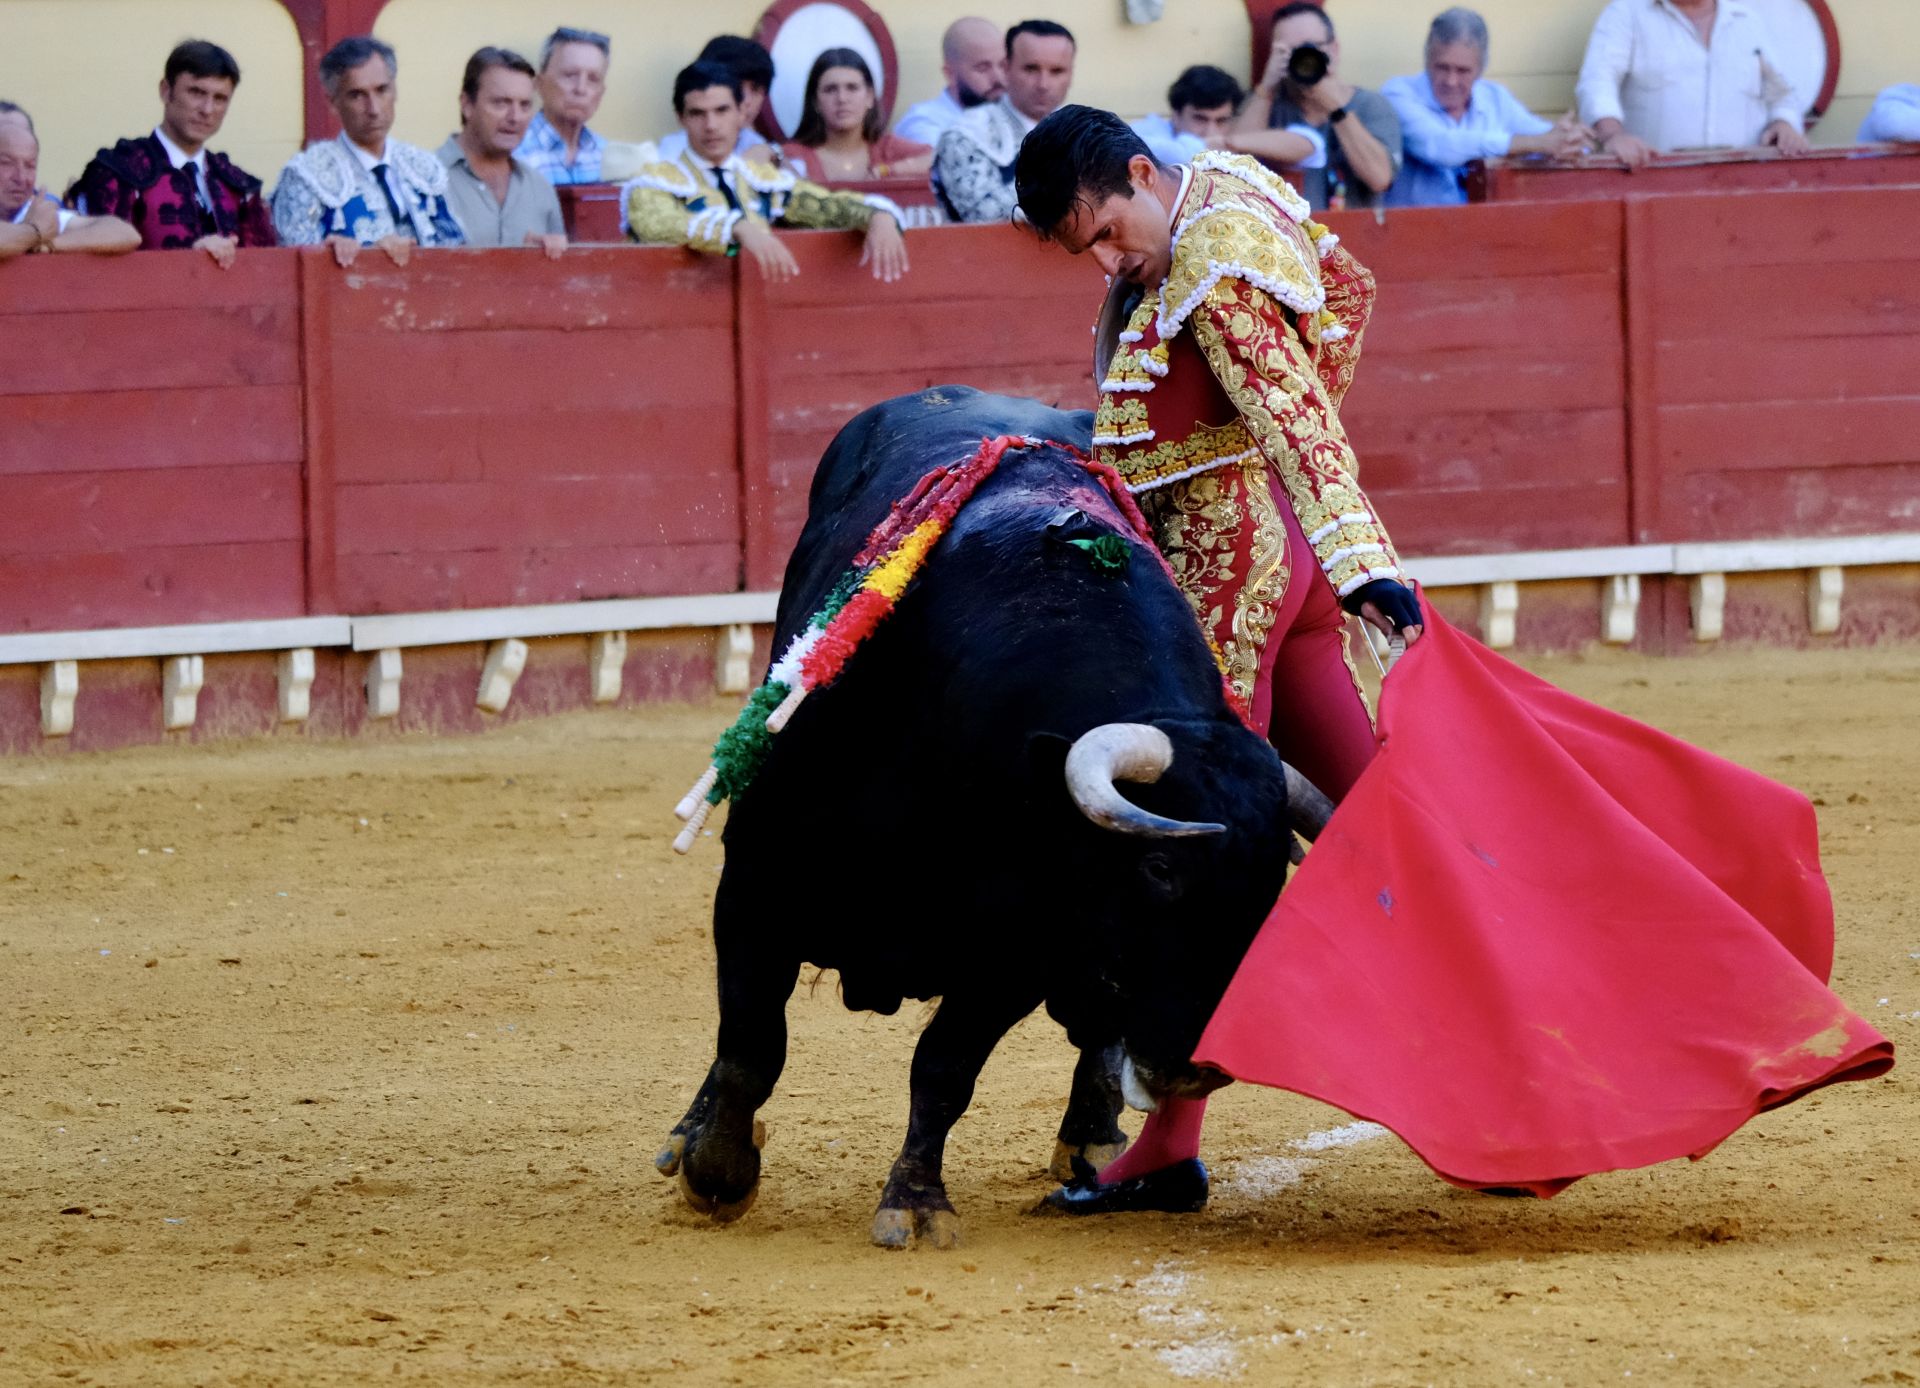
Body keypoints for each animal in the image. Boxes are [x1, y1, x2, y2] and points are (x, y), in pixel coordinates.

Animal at [652, 387, 1328, 1251]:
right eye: (1159, 866)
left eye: (1272, 879)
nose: (1204, 1062)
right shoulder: (754, 881)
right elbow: (750, 1044)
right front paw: (718, 1171)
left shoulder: (1018, 952)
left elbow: (944, 1069)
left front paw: (915, 1202)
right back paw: (688, 1136)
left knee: (1093, 1037)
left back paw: (1094, 1140)